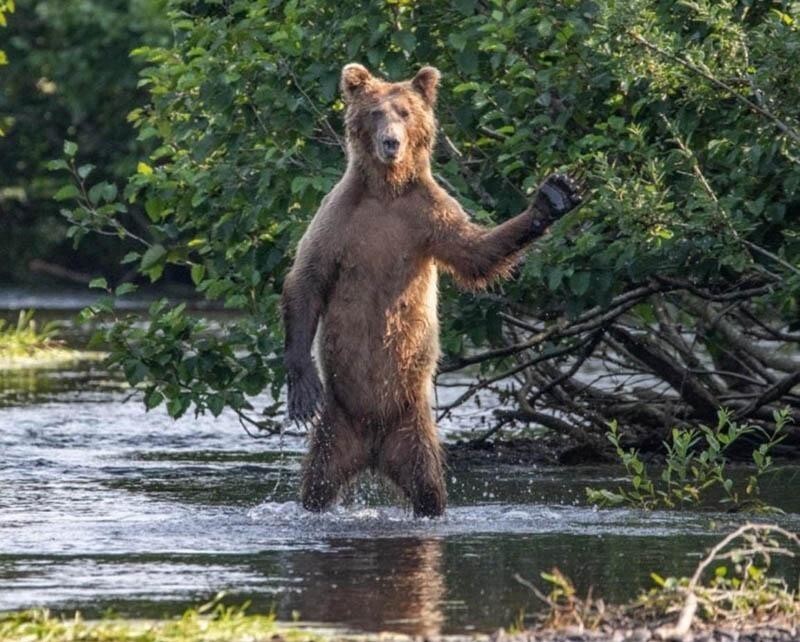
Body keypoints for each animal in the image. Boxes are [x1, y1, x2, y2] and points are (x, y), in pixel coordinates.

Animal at [282, 63, 580, 516]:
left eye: (405, 112)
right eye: (375, 112)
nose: (390, 142)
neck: (387, 192)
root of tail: (372, 449)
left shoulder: (427, 215)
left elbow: (474, 252)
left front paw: (553, 197)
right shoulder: (339, 218)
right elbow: (307, 279)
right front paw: (302, 388)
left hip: (413, 427)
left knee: (428, 486)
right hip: (338, 424)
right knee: (317, 483)